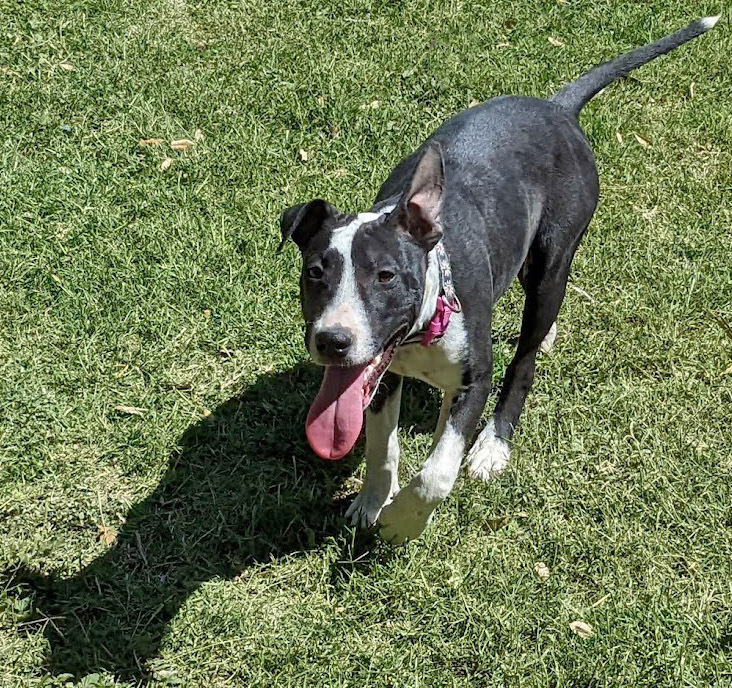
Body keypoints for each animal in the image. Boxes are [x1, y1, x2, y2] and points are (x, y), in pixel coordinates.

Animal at [278, 16, 716, 544]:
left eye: (385, 276)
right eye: (314, 273)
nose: (332, 341)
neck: (429, 322)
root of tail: (556, 109)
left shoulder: (475, 379)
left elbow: (437, 472)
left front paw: (403, 522)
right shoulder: (378, 375)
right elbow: (383, 448)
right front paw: (372, 501)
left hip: (551, 265)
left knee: (524, 360)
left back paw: (494, 443)